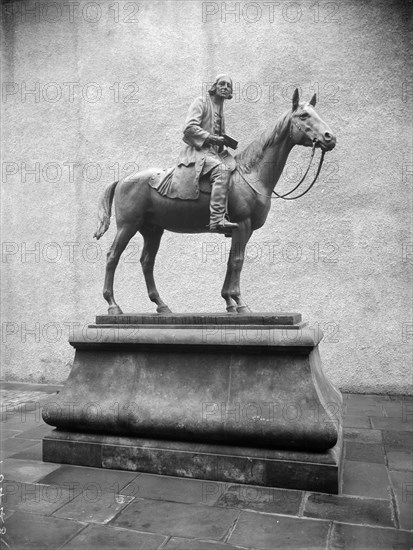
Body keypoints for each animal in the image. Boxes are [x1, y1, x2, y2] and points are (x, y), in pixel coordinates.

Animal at [93, 89, 334, 314]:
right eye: (304, 115)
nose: (330, 137)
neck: (252, 173)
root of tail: (122, 179)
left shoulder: (241, 230)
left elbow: (231, 261)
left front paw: (229, 301)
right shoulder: (242, 224)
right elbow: (237, 261)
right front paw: (240, 303)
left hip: (152, 230)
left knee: (147, 262)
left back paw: (161, 305)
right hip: (128, 226)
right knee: (112, 257)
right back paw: (113, 305)